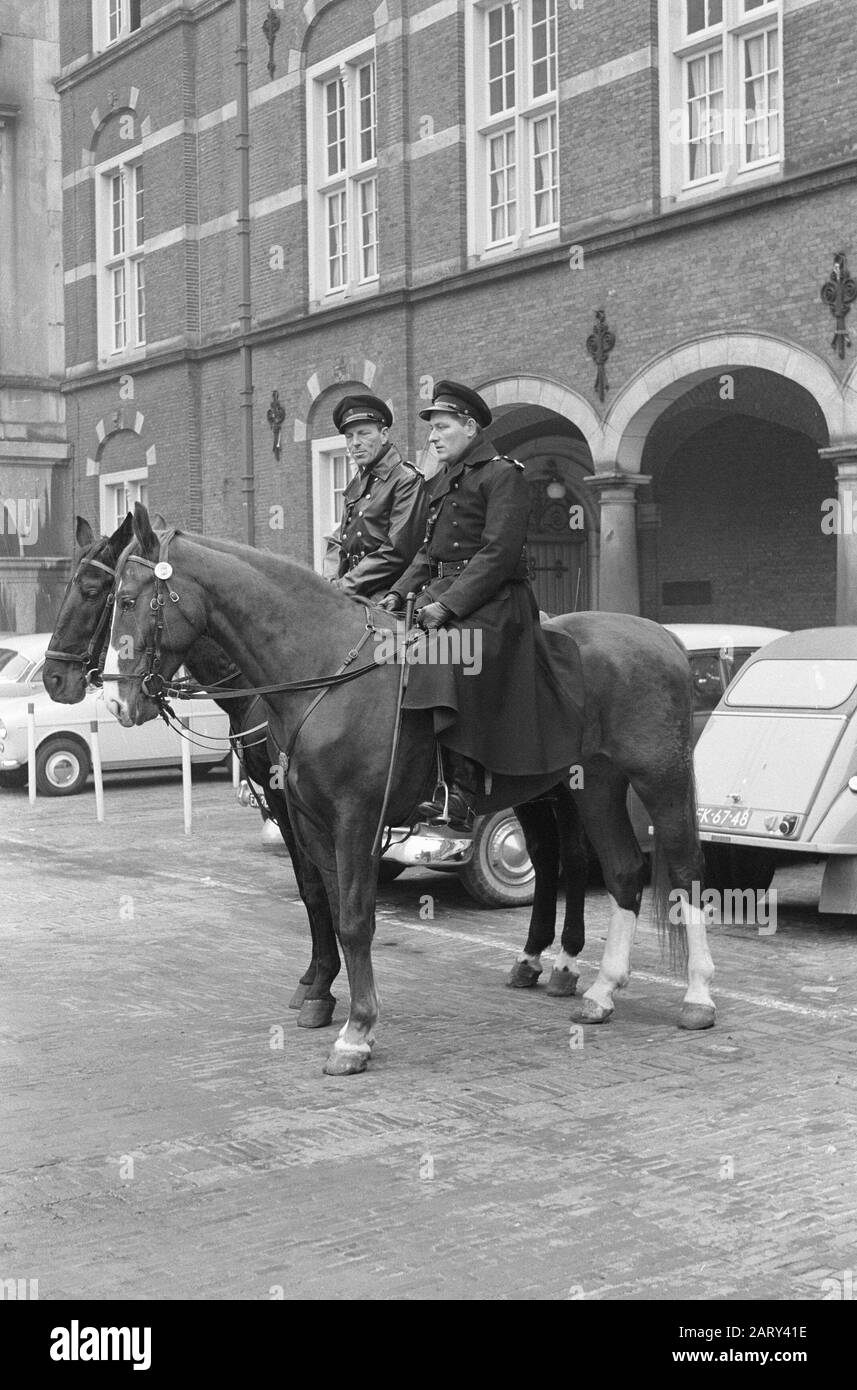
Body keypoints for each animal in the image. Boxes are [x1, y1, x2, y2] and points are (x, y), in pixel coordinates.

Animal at [102, 508, 716, 1073]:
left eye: (126, 599)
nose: (116, 702)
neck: (325, 672)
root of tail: (661, 635)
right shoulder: (312, 822)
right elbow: (329, 906)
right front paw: (334, 1003)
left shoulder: (356, 819)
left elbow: (354, 919)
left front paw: (355, 1032)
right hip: (594, 786)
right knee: (621, 872)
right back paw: (601, 991)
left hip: (658, 778)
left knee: (684, 870)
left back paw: (697, 995)